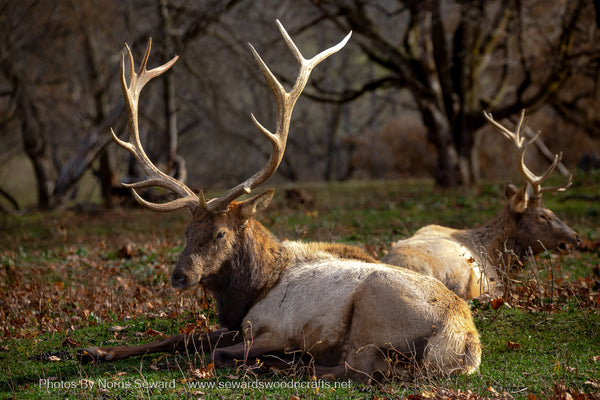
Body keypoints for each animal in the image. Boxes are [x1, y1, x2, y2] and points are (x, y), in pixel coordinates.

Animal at [79, 21, 482, 382]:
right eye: (187, 231)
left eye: (221, 233)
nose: (180, 276)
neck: (254, 290)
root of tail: (464, 345)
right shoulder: (235, 326)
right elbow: (179, 338)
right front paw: (96, 350)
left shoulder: (273, 328)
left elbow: (217, 350)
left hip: (371, 315)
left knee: (357, 369)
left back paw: (282, 365)